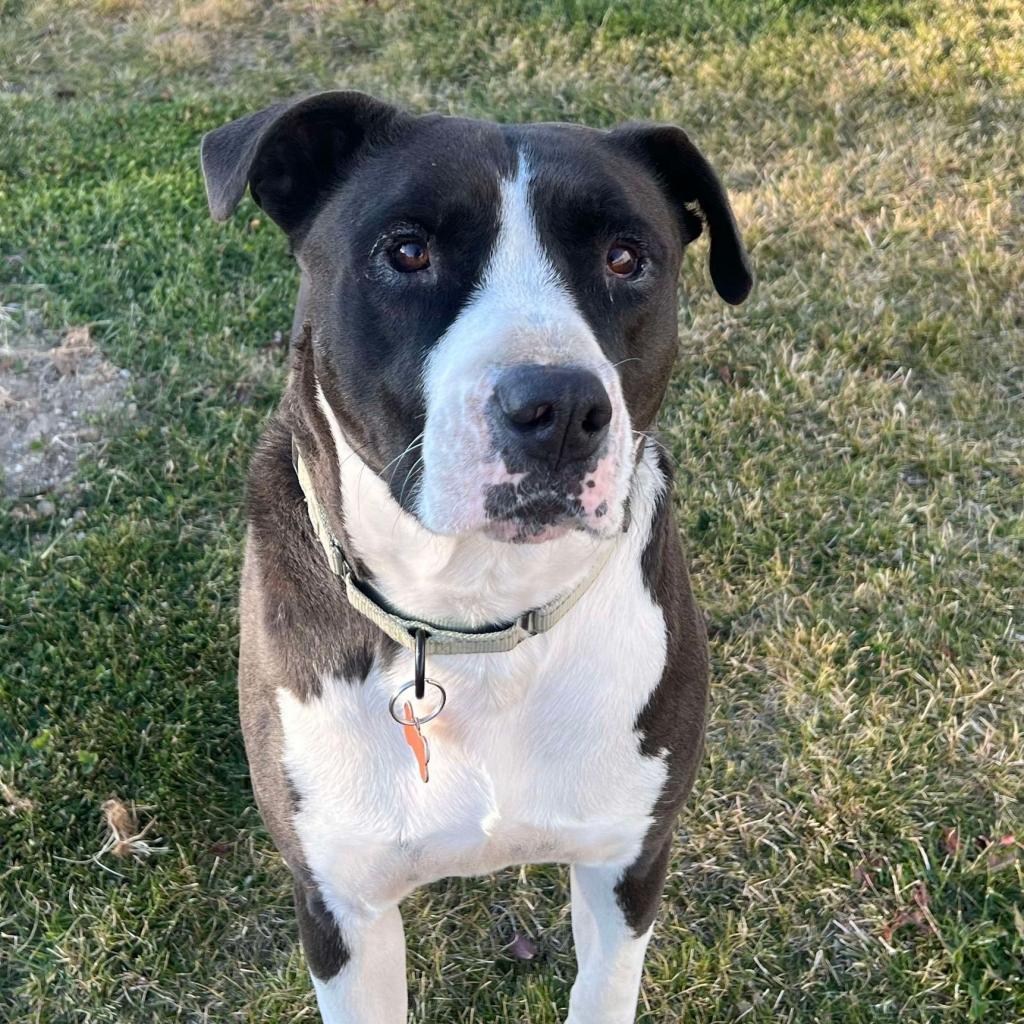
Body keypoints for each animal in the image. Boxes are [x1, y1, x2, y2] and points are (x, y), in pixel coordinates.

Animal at [199, 92, 753, 1019]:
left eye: (626, 257)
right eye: (407, 251)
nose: (558, 409)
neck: (475, 614)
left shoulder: (628, 861)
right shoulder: (339, 905)